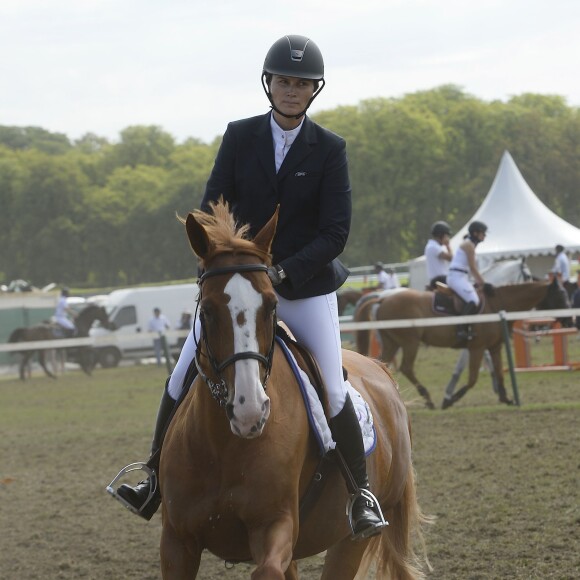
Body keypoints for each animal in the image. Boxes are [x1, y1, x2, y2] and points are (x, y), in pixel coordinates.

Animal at [161, 201, 428, 580]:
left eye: (272, 306)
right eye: (208, 310)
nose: (249, 410)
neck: (223, 446)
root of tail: (380, 370)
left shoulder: (275, 525)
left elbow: (267, 570)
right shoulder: (177, 540)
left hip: (350, 541)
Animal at [354, 280, 568, 408]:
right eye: (560, 296)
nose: (570, 320)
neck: (495, 305)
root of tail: (382, 298)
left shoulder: (494, 347)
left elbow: (499, 372)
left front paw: (506, 397)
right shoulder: (477, 348)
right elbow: (472, 378)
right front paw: (451, 398)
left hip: (393, 343)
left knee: (381, 364)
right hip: (410, 343)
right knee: (406, 367)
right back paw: (428, 398)